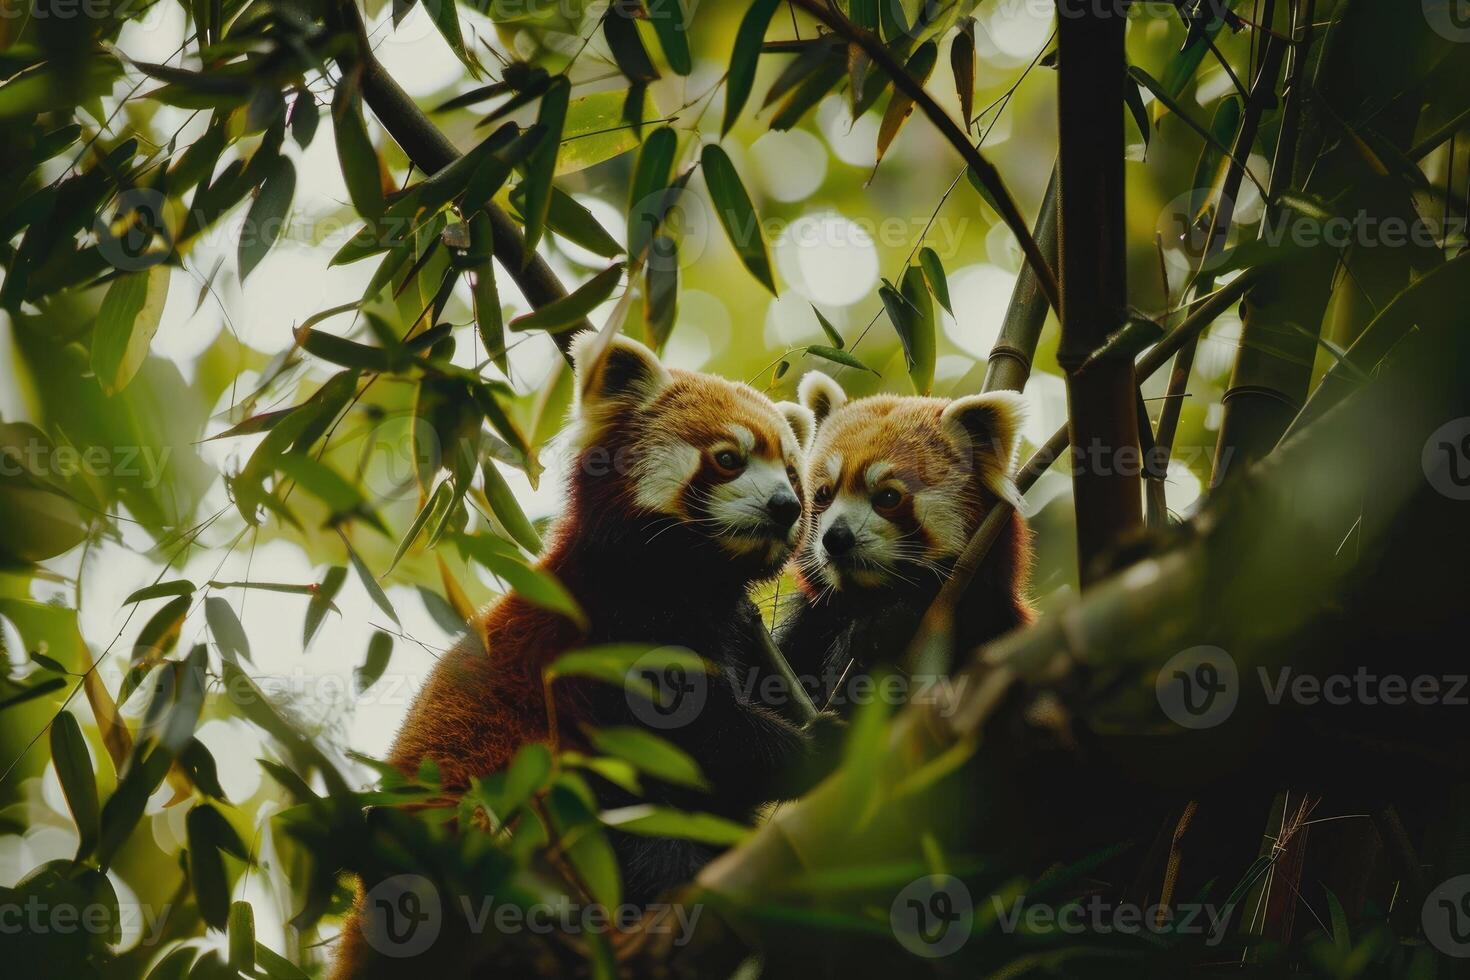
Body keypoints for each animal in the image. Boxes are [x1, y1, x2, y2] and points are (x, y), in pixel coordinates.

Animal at [330, 333, 829, 975]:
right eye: (728, 458)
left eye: (792, 471)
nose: (786, 505)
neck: (687, 578)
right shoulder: (606, 631)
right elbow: (701, 736)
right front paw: (815, 747)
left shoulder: (737, 634)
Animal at [776, 367, 1040, 714]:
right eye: (823, 494)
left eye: (888, 497)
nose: (837, 538)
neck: (879, 596)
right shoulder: (810, 623)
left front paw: (882, 629)